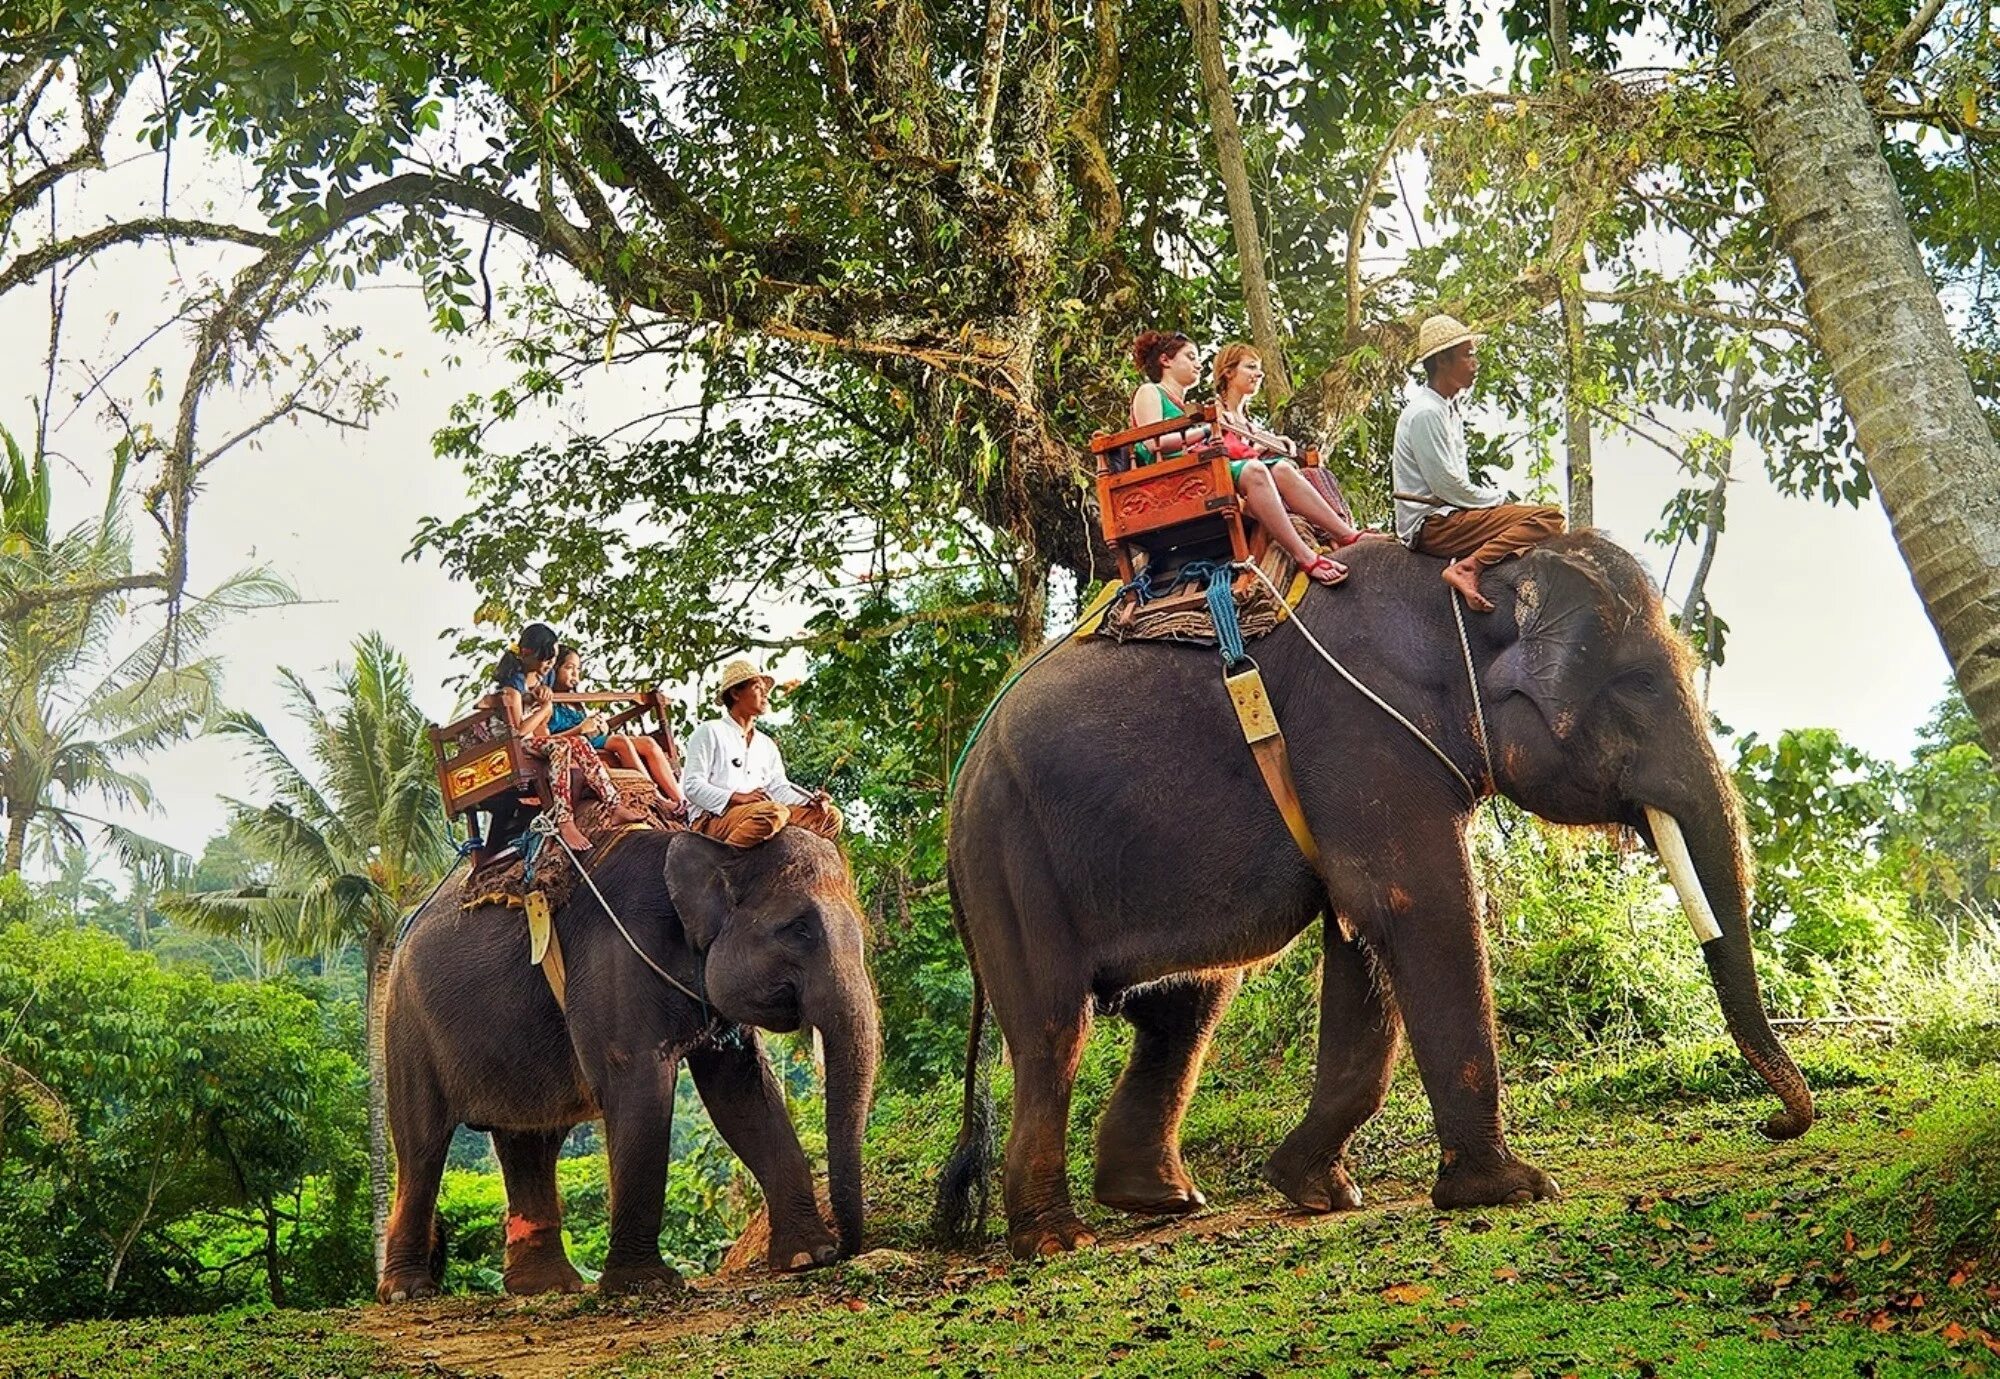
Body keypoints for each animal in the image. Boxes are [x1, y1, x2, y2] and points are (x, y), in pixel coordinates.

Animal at [376, 827, 876, 1303]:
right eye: (798, 929)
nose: (847, 1248)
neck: (707, 844)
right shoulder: (614, 963)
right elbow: (641, 1088)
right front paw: (646, 1283)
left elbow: (742, 1094)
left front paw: (809, 1257)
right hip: (404, 1026)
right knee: (422, 1146)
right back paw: (408, 1291)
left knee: (529, 1140)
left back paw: (547, 1287)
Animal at [936, 527, 1816, 1255]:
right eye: (1636, 685)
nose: (1774, 1122)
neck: (1461, 590)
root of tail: (958, 784)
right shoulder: (1362, 733)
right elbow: (1417, 905)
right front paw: (1514, 1190)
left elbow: (1361, 937)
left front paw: (1316, 1190)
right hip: (1009, 857)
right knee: (1054, 1029)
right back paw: (1057, 1240)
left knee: (1187, 1004)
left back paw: (1163, 1199)